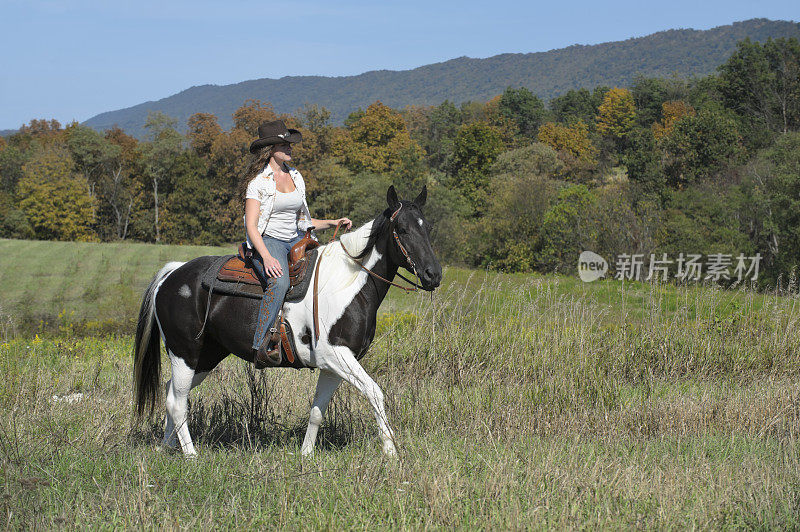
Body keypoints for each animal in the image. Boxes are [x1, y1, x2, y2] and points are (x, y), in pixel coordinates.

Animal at [134, 185, 440, 456]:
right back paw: (190, 454)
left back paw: (167, 446)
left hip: (205, 356)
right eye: (402, 229)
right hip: (184, 352)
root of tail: (173, 273)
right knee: (178, 403)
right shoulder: (336, 354)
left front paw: (305, 454)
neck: (348, 282)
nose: (433, 274)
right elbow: (375, 393)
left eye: (427, 228)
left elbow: (317, 411)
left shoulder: (333, 365)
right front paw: (391, 451)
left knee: (171, 393)